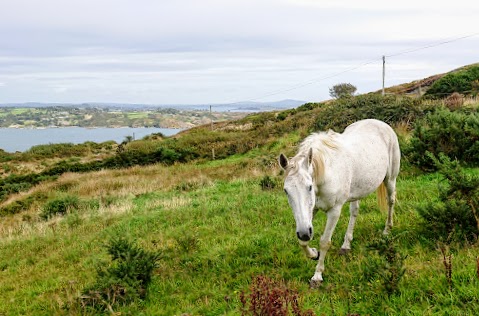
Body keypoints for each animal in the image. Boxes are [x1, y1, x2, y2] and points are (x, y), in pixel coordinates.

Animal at [280, 118, 400, 286]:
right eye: (286, 191)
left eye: (309, 187)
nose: (304, 233)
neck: (326, 173)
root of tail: (380, 123)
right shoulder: (311, 212)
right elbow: (302, 242)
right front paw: (314, 253)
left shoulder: (334, 211)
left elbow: (325, 242)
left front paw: (317, 276)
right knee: (354, 212)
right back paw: (346, 245)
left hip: (390, 179)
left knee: (391, 201)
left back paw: (387, 231)